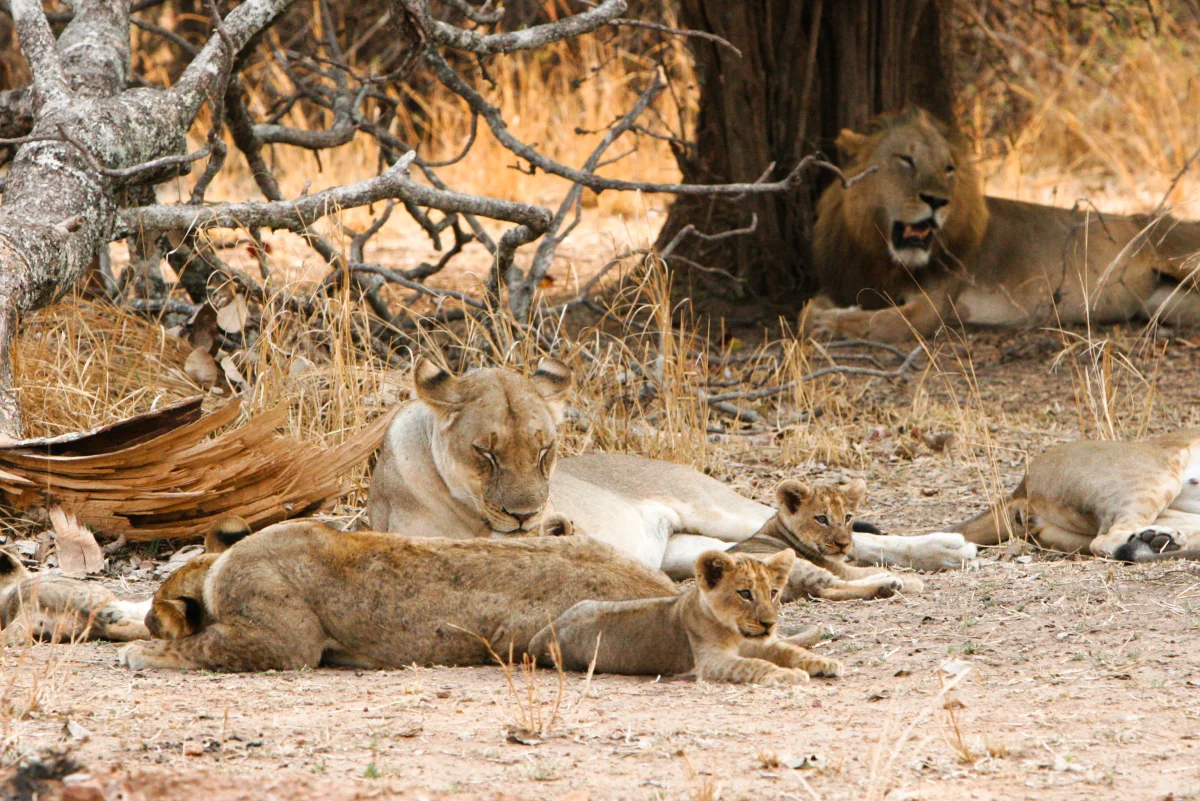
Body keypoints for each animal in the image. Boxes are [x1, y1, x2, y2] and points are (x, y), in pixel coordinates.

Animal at [118, 519, 678, 671]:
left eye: (156, 610)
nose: (147, 621)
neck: (215, 570)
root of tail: (668, 589)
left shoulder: (286, 642)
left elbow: (200, 643)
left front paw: (142, 650)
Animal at [366, 357, 977, 580]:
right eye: (485, 453)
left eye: (545, 450)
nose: (526, 514)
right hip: (692, 549)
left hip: (719, 508)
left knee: (850, 538)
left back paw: (947, 548)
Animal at [527, 549, 842, 684]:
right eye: (745, 593)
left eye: (773, 592)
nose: (769, 624)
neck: (736, 632)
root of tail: (537, 638)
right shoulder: (711, 662)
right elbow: (755, 665)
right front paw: (787, 674)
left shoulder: (764, 643)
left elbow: (791, 651)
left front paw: (825, 662)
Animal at [729, 479, 922, 600]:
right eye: (821, 519)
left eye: (847, 517)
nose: (843, 545)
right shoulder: (837, 567)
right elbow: (865, 571)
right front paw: (913, 580)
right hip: (795, 564)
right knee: (829, 587)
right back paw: (889, 583)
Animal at [805, 107, 1200, 343]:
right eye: (905, 159)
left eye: (949, 169)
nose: (937, 201)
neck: (881, 255)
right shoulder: (846, 282)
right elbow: (808, 307)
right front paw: (821, 316)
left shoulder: (932, 307)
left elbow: (877, 323)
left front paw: (833, 324)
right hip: (1164, 302)